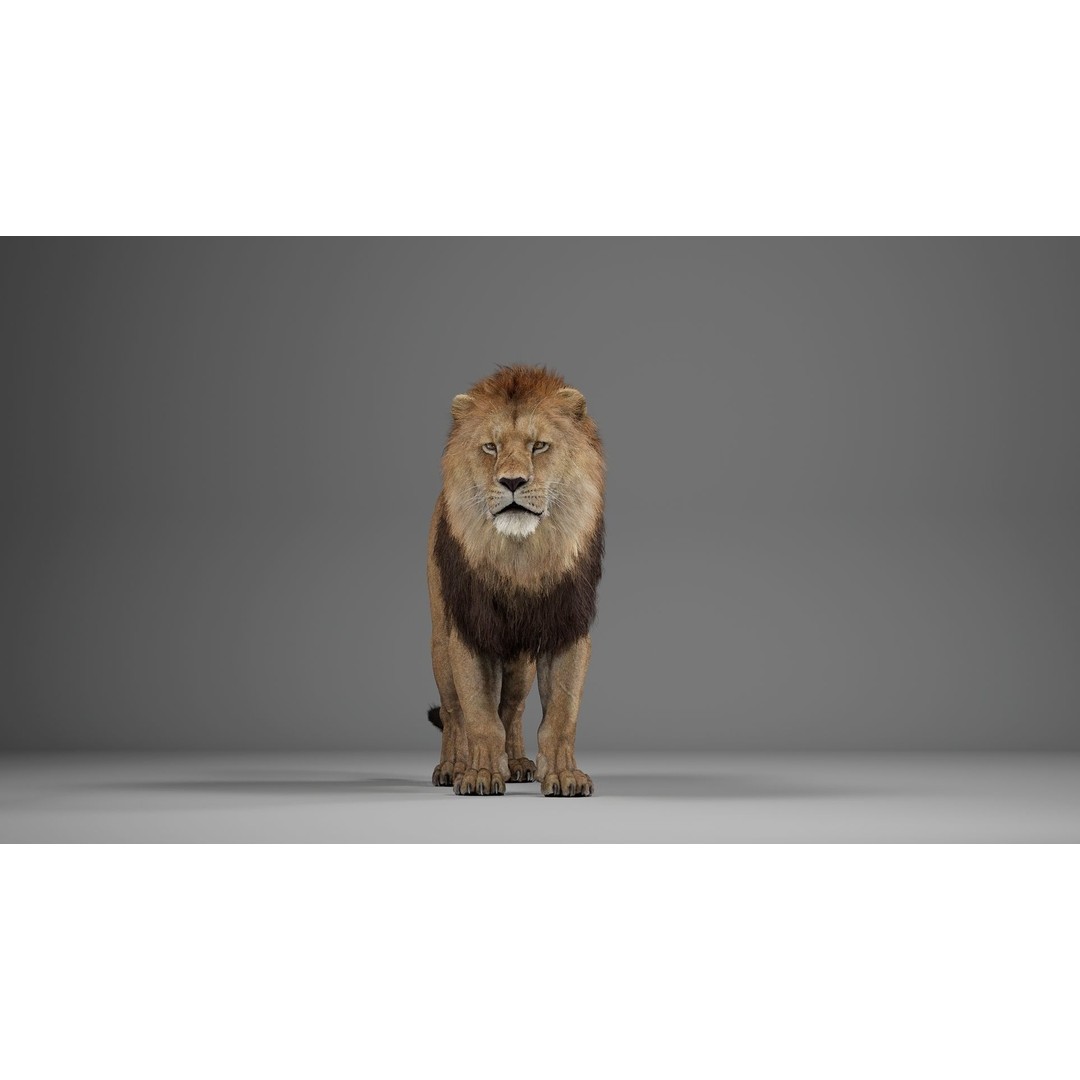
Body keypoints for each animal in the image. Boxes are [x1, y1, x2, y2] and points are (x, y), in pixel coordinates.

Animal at [426, 365, 605, 796]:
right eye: (490, 447)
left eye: (539, 446)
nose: (511, 481)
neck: (520, 557)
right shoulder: (469, 630)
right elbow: (478, 714)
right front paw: (479, 774)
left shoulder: (566, 626)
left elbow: (560, 714)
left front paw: (563, 775)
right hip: (440, 642)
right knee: (454, 712)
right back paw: (452, 767)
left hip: (521, 660)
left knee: (512, 707)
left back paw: (518, 764)